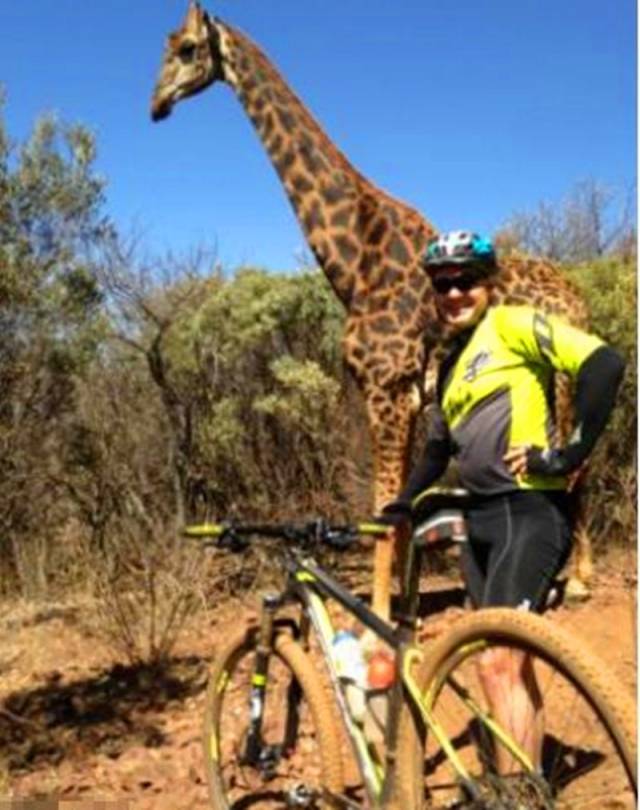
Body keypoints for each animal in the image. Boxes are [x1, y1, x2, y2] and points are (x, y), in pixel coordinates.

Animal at [152, 3, 592, 616]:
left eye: (187, 48)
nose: (156, 104)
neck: (355, 260)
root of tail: (579, 293)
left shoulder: (386, 390)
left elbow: (382, 512)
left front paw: (379, 616)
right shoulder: (401, 398)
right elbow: (399, 510)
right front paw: (400, 606)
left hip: (565, 375)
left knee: (577, 462)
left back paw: (580, 579)